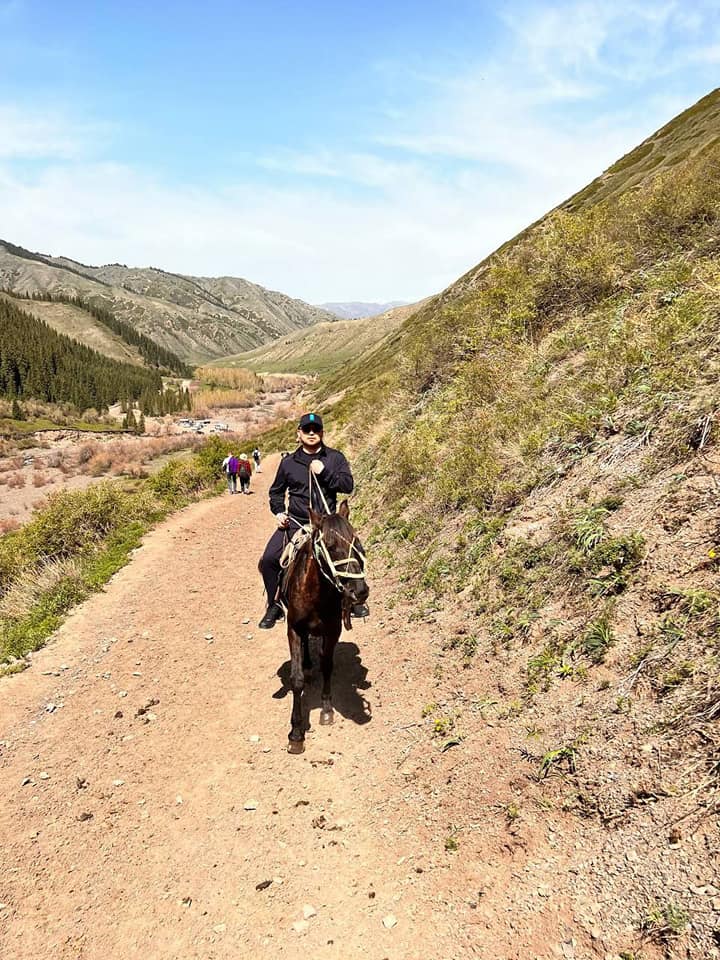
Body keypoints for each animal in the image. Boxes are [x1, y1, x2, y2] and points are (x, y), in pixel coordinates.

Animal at [282, 498, 372, 752]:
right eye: (330, 546)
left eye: (356, 542)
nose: (360, 591)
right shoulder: (293, 629)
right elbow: (296, 679)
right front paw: (296, 733)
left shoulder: (333, 630)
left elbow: (327, 665)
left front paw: (326, 709)